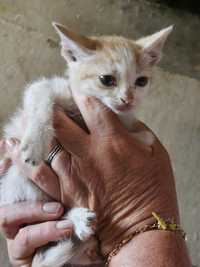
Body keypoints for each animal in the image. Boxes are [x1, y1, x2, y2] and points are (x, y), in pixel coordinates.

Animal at [0, 23, 173, 267]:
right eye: (106, 80)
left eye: (141, 82)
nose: (128, 99)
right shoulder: (44, 87)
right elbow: (40, 100)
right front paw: (35, 143)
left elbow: (140, 134)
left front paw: (139, 137)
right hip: (19, 181)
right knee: (52, 213)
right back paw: (77, 219)